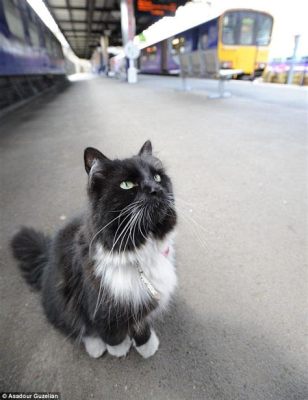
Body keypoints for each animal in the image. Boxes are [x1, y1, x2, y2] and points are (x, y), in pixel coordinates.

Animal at [10, 141, 177, 360]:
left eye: (158, 177)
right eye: (127, 185)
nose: (156, 189)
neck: (139, 251)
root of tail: (46, 257)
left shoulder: (141, 301)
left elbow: (140, 326)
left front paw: (146, 345)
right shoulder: (100, 303)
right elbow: (109, 331)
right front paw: (119, 349)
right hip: (62, 298)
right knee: (77, 326)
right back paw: (96, 347)